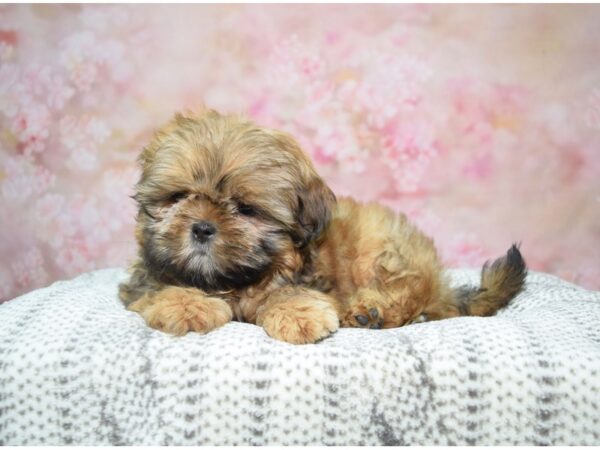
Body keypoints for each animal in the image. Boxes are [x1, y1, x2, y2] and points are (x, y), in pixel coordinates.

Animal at [119, 110, 528, 344]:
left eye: (246, 209)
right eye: (178, 196)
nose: (202, 228)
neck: (231, 280)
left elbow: (288, 293)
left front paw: (298, 314)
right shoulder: (144, 279)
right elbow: (159, 288)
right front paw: (186, 306)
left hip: (383, 250)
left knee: (412, 290)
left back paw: (372, 312)